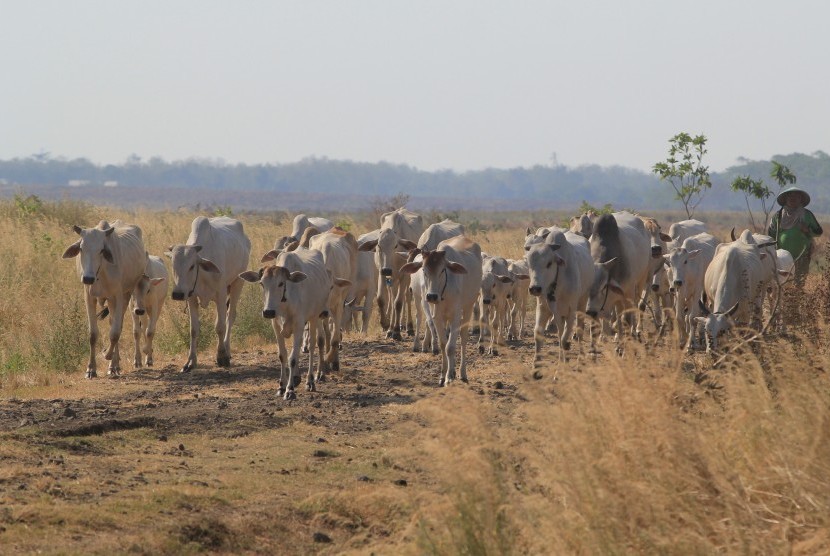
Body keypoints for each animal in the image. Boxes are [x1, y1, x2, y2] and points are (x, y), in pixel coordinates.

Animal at [166, 215, 250, 372]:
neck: (202, 274)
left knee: (230, 316)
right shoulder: (191, 297)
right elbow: (194, 329)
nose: (177, 294)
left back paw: (227, 350)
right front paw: (190, 361)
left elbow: (220, 326)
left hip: (237, 283)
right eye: (173, 265)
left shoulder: (221, 295)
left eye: (192, 266)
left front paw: (222, 357)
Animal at [402, 235, 484, 386]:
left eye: (442, 270)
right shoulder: (437, 317)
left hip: (468, 307)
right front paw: (443, 375)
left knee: (463, 339)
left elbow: (450, 347)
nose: (431, 296)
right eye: (424, 270)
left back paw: (462, 373)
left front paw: (449, 376)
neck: (443, 290)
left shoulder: (456, 316)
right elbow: (443, 344)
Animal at [528, 229, 596, 362]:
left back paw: (580, 355)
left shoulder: (571, 310)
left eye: (549, 263)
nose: (535, 288)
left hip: (582, 301)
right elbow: (539, 333)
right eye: (529, 264)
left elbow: (564, 339)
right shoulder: (543, 308)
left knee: (579, 329)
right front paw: (536, 364)